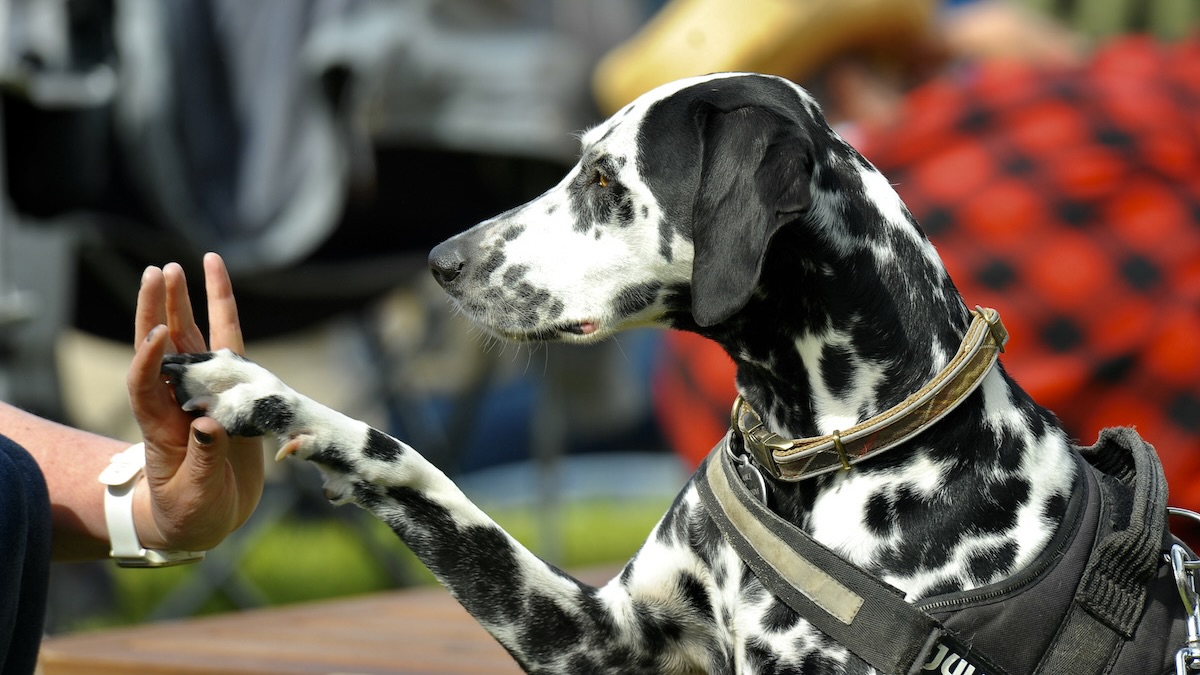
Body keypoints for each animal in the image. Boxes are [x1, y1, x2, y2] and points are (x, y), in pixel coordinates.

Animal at [162, 70, 1080, 667]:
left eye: (606, 179)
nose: (441, 261)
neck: (807, 458)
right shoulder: (600, 635)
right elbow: (420, 475)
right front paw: (259, 392)